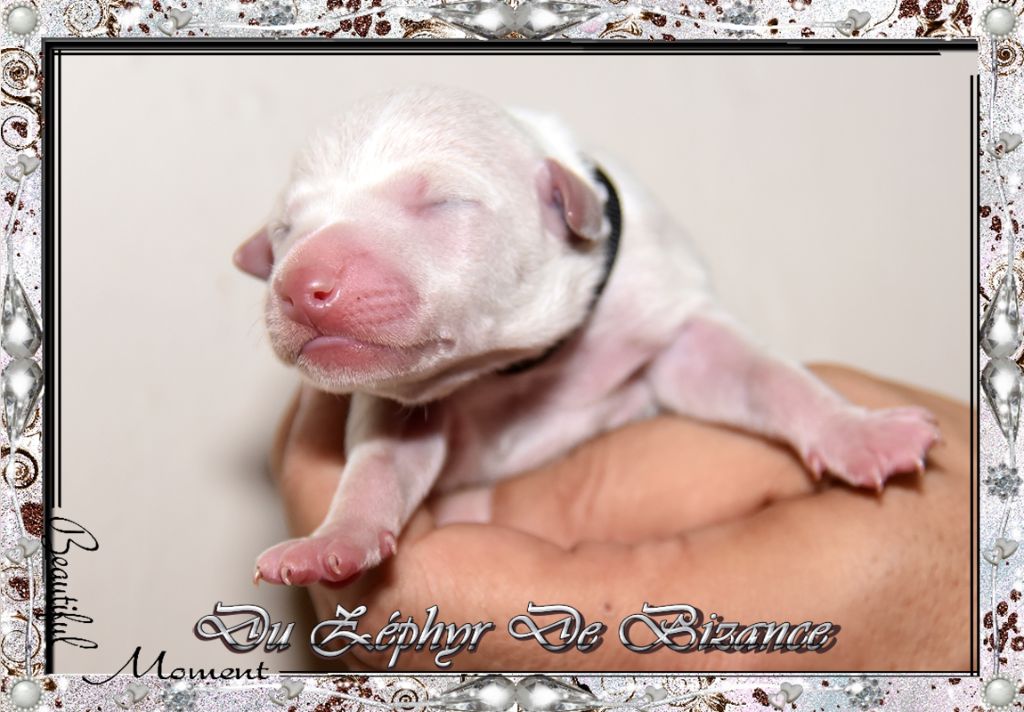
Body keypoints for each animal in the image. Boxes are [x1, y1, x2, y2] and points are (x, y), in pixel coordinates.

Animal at [235, 86, 940, 586]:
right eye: (284, 231)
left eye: (442, 203)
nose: (303, 284)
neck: (516, 368)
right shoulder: (397, 401)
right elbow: (381, 461)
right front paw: (335, 539)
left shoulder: (666, 312)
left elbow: (760, 372)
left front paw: (861, 432)